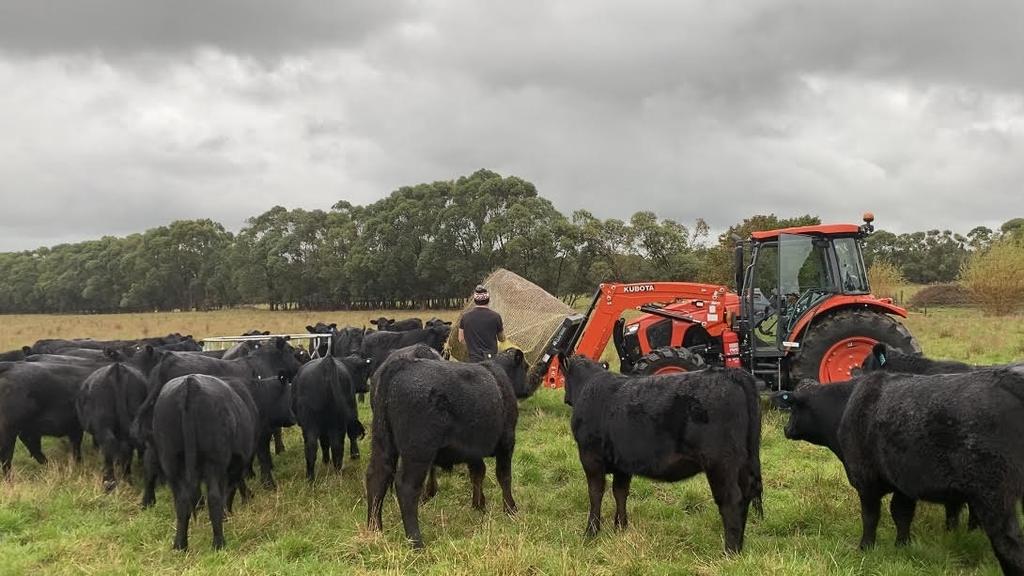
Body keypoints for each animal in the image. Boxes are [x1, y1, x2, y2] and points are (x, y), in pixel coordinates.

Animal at [151, 373, 256, 545]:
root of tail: (190, 383)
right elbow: (228, 492)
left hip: (170, 461)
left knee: (182, 501)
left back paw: (180, 545)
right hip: (213, 462)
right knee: (214, 497)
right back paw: (219, 543)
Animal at [366, 344, 528, 545]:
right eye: (526, 367)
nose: (528, 388)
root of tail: (402, 364)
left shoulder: (473, 450)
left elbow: (477, 474)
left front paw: (478, 505)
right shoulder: (507, 442)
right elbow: (504, 476)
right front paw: (510, 509)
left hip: (382, 441)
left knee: (377, 477)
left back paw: (375, 530)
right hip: (418, 451)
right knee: (406, 487)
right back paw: (416, 541)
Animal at [561, 354, 761, 553]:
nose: (565, 398)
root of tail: (730, 373)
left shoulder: (590, 456)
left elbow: (595, 493)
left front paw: (591, 532)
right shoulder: (623, 462)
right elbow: (620, 492)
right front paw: (621, 528)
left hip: (720, 463)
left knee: (731, 500)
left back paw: (730, 551)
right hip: (744, 461)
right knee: (746, 495)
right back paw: (739, 546)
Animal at [782, 368, 1024, 569]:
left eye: (793, 407)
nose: (785, 428)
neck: (846, 408)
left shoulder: (866, 481)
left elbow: (870, 516)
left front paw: (865, 547)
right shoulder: (903, 485)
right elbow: (902, 515)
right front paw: (902, 545)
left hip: (993, 494)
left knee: (1008, 542)